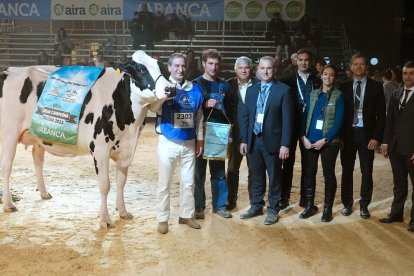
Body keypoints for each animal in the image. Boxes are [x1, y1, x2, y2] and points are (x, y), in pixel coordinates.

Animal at [0, 50, 175, 230]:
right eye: (141, 70)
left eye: (162, 67)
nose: (171, 89)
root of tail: (8, 70)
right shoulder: (100, 149)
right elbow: (105, 185)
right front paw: (105, 220)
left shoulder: (126, 149)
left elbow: (121, 182)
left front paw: (123, 211)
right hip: (9, 132)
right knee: (6, 166)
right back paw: (8, 204)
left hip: (38, 135)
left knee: (37, 159)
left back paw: (43, 193)